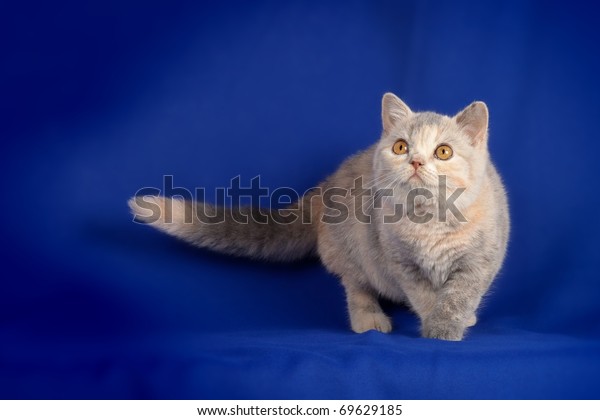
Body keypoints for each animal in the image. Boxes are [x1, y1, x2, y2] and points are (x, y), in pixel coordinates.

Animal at [129, 93, 508, 340]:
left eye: (443, 152)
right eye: (401, 147)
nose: (415, 161)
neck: (429, 221)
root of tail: (326, 186)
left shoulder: (480, 262)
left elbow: (458, 296)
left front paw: (448, 327)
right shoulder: (403, 264)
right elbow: (425, 298)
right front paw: (434, 325)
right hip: (353, 250)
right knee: (356, 287)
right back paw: (369, 320)